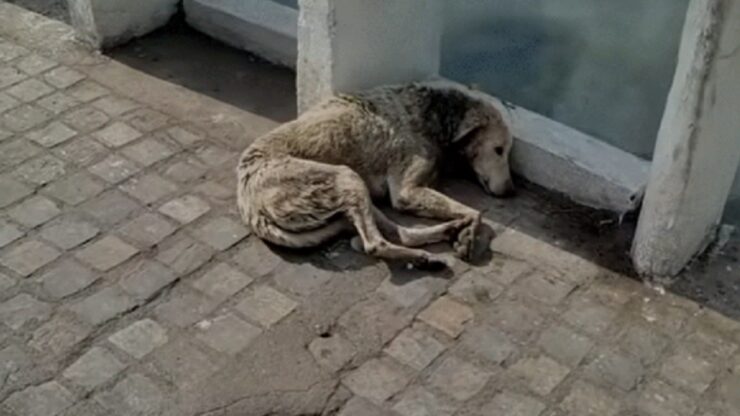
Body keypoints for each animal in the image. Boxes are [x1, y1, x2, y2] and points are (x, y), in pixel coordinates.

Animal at [237, 83, 516, 268]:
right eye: (498, 149)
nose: (511, 191)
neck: (435, 115)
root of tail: (250, 208)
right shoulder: (406, 192)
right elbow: (477, 213)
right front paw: (470, 233)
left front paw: (465, 232)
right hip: (346, 177)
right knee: (374, 244)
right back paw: (424, 256)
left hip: (357, 194)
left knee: (399, 233)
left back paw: (444, 236)